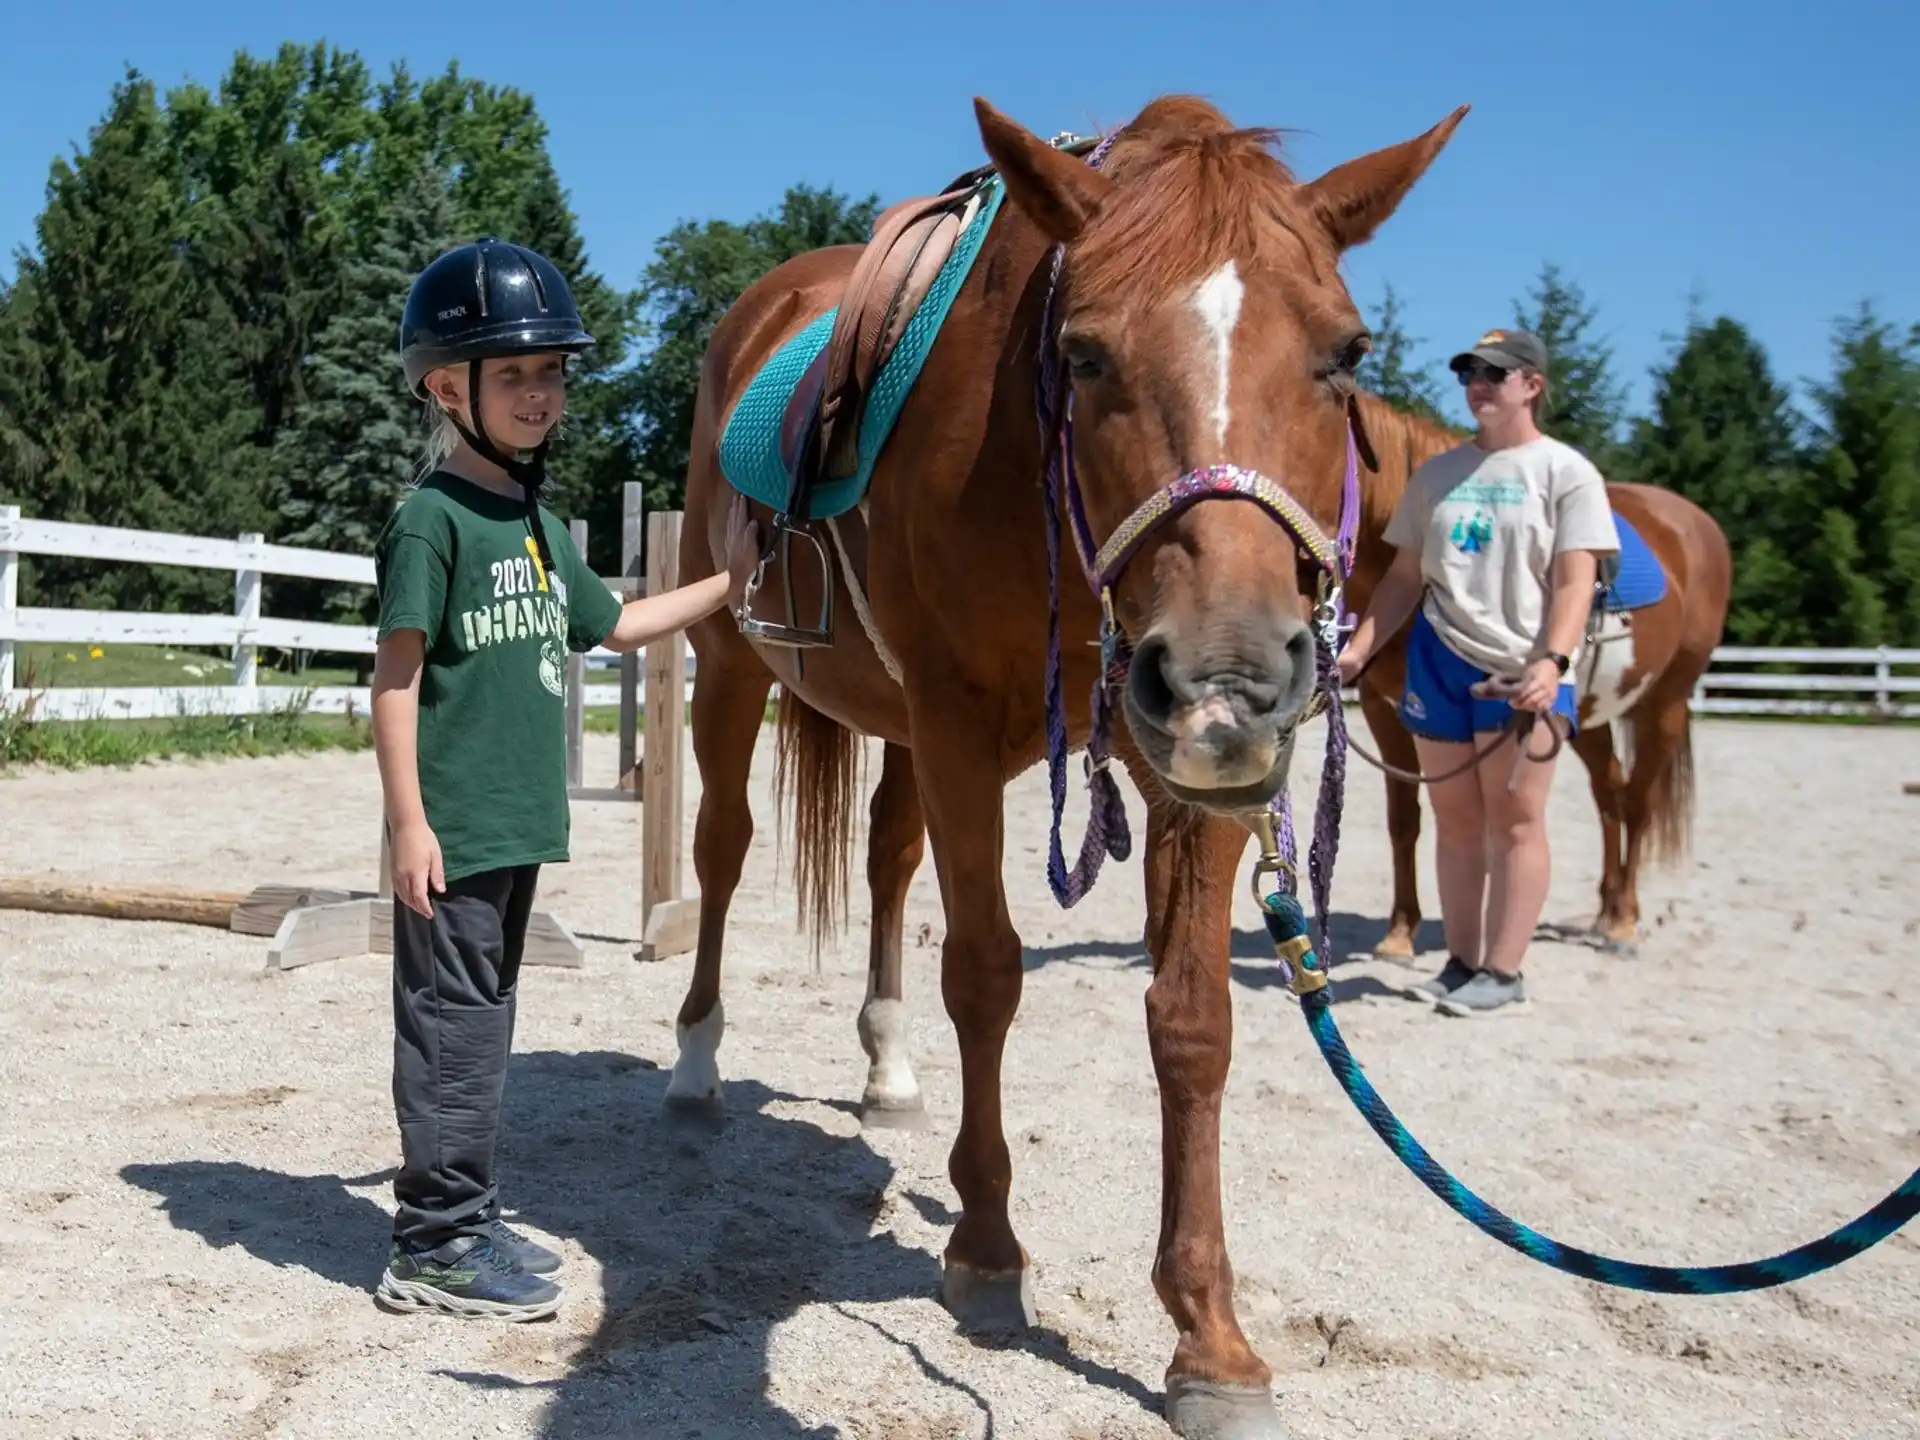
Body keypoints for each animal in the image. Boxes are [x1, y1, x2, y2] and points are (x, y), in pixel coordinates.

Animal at [660, 94, 1470, 1438]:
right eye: (1084, 357)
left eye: (1347, 354)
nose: (1232, 677)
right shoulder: (954, 723)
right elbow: (986, 977)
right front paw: (987, 1253)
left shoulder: (1179, 773)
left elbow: (1192, 1021)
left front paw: (1210, 1337)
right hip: (729, 666)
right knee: (720, 855)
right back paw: (694, 1063)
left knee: (887, 863)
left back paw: (887, 1070)